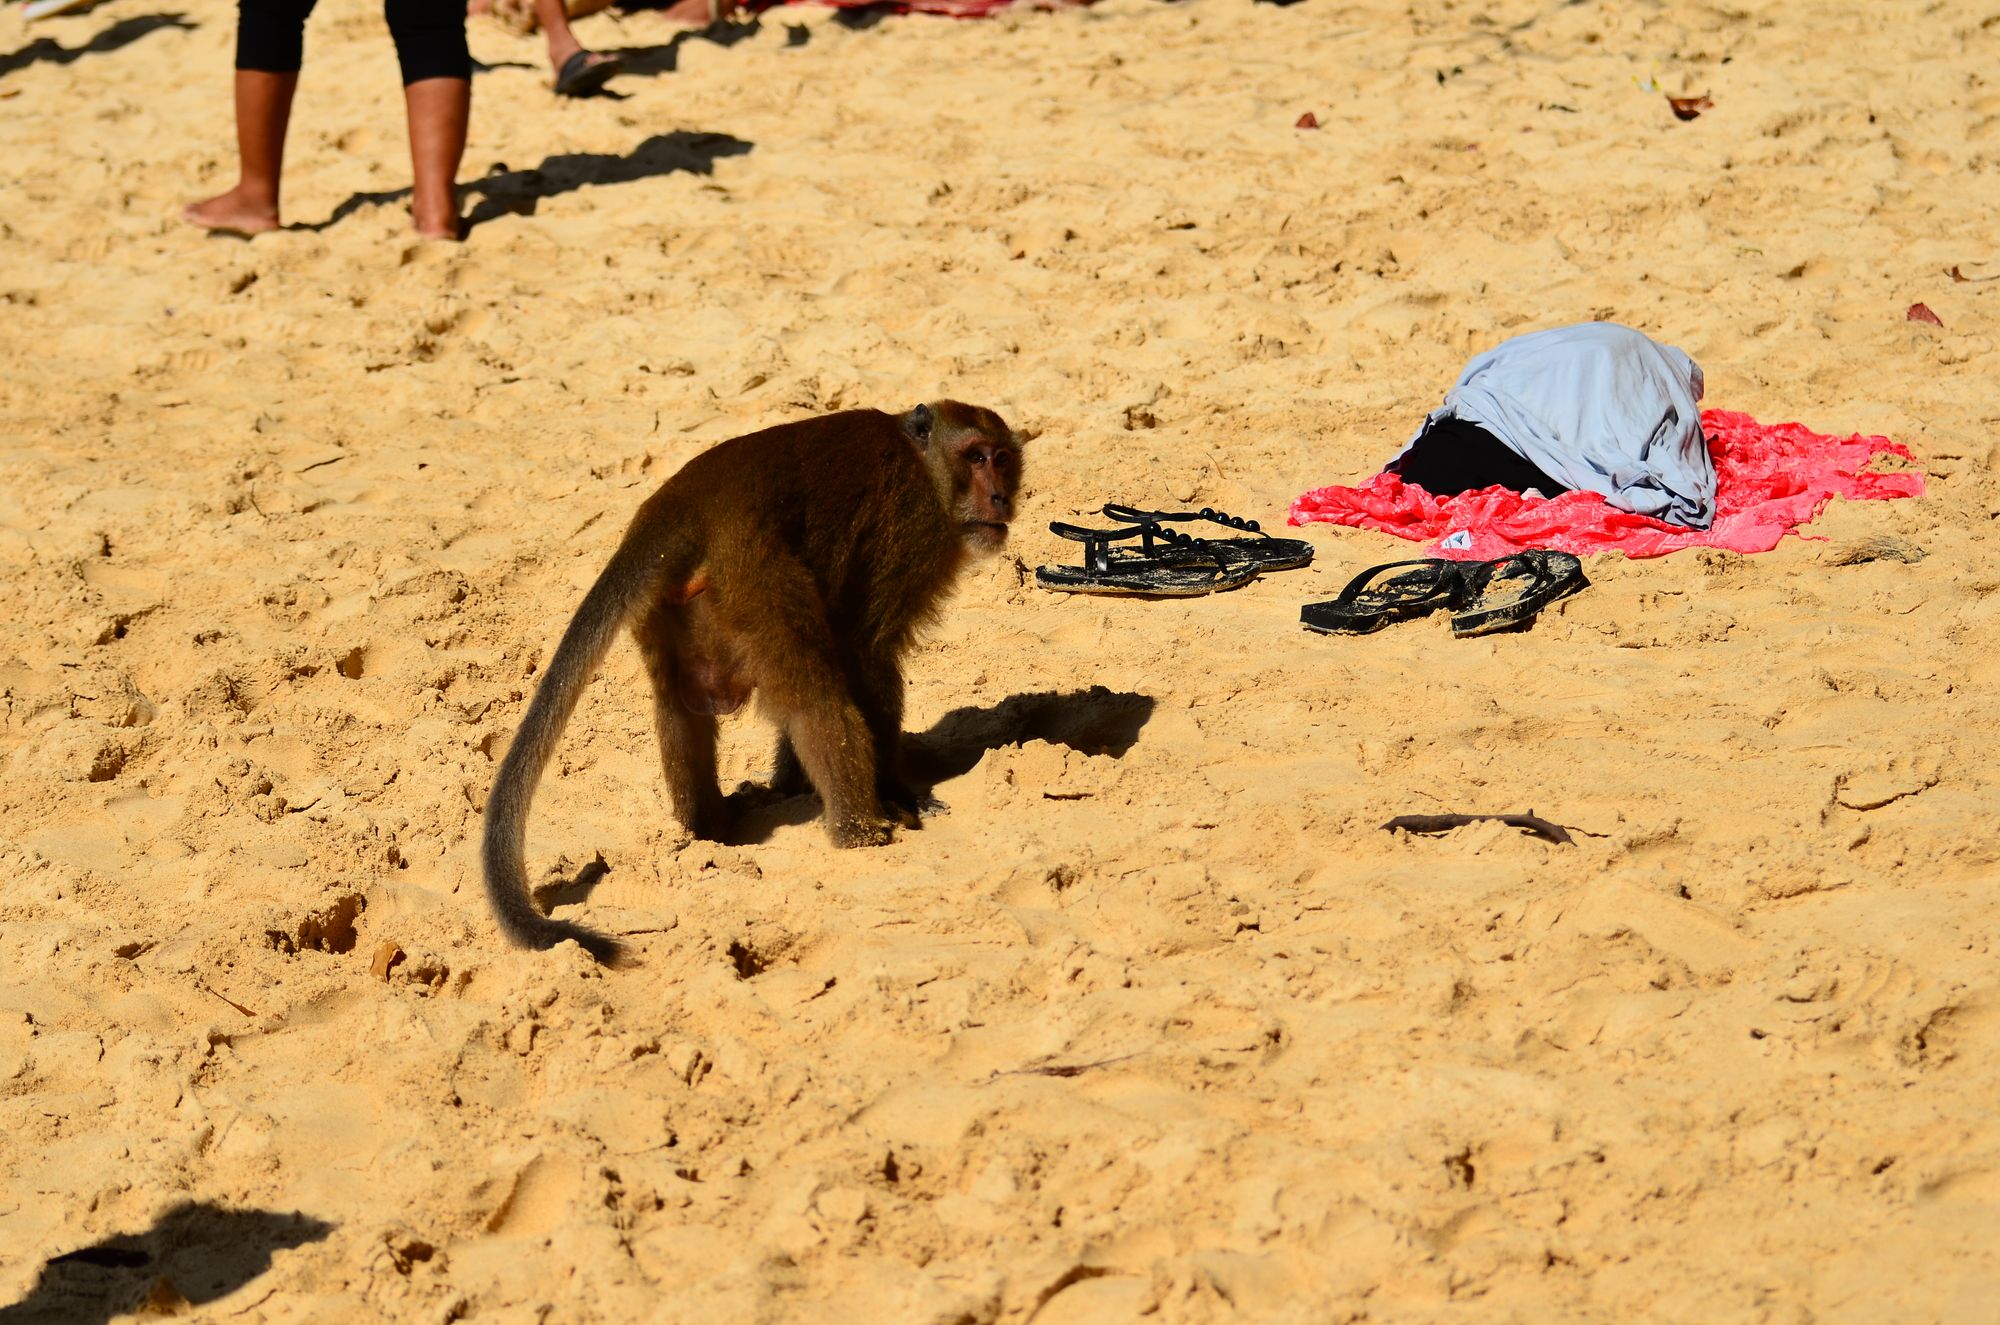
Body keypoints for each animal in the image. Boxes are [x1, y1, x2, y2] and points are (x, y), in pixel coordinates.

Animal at [480, 402, 1016, 964]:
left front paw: (789, 785)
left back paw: (705, 832)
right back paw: (859, 834)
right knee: (814, 702)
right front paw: (898, 792)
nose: (1000, 496)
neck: (925, 465)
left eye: (1002, 458)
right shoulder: (913, 529)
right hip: (753, 574)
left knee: (682, 706)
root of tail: (683, 502)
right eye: (975, 457)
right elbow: (863, 649)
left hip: (677, 599)